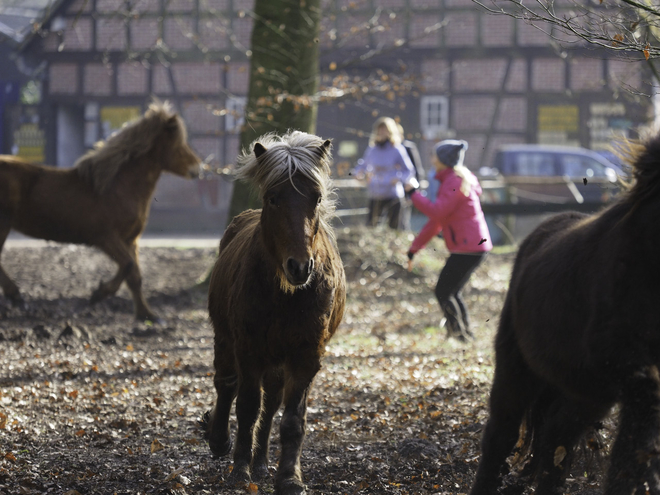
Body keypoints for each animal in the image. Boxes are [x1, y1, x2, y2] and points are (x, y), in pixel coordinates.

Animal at [0, 102, 201, 324]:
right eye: (179, 143)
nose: (198, 167)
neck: (117, 187)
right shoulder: (105, 238)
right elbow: (128, 266)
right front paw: (98, 294)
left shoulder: (130, 240)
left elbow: (135, 276)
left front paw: (147, 315)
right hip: (3, 224)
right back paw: (15, 294)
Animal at [204, 132, 346, 495]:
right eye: (273, 198)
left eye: (316, 197)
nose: (300, 266)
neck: (286, 295)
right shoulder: (249, 349)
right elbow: (246, 407)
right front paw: (239, 469)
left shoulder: (305, 356)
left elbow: (292, 420)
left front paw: (289, 477)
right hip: (226, 339)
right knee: (226, 384)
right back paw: (220, 441)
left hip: (278, 360)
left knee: (270, 403)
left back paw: (262, 463)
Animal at [472, 133, 660, 495]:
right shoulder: (622, 367)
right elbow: (633, 450)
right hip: (519, 370)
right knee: (501, 435)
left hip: (583, 391)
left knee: (555, 438)